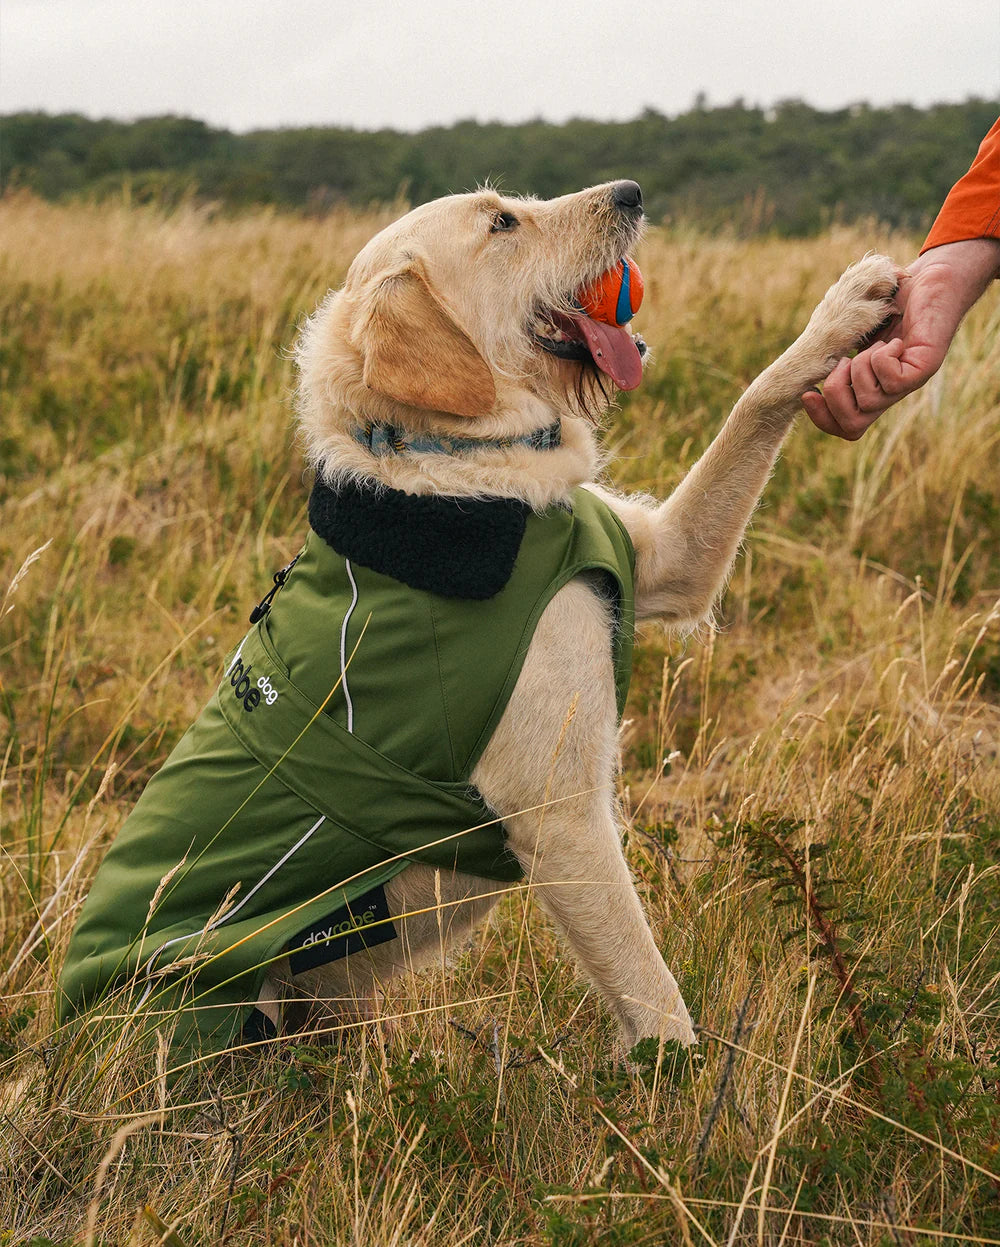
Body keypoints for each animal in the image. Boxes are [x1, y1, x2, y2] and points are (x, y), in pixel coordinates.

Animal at [58, 180, 892, 1057]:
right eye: (501, 222)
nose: (631, 193)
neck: (450, 466)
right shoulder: (562, 817)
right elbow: (652, 992)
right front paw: (684, 1087)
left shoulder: (670, 559)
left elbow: (754, 401)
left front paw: (842, 311)